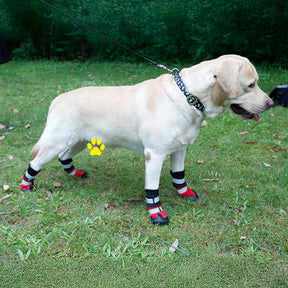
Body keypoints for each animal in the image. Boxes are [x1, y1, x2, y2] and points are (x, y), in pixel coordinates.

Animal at [21, 54, 274, 225]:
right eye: (251, 85)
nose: (271, 103)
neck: (188, 97)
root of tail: (57, 98)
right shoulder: (155, 154)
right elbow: (152, 190)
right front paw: (157, 213)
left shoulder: (180, 149)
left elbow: (179, 176)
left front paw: (185, 193)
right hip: (56, 141)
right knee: (34, 163)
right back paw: (27, 187)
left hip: (79, 141)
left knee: (64, 156)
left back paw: (73, 173)